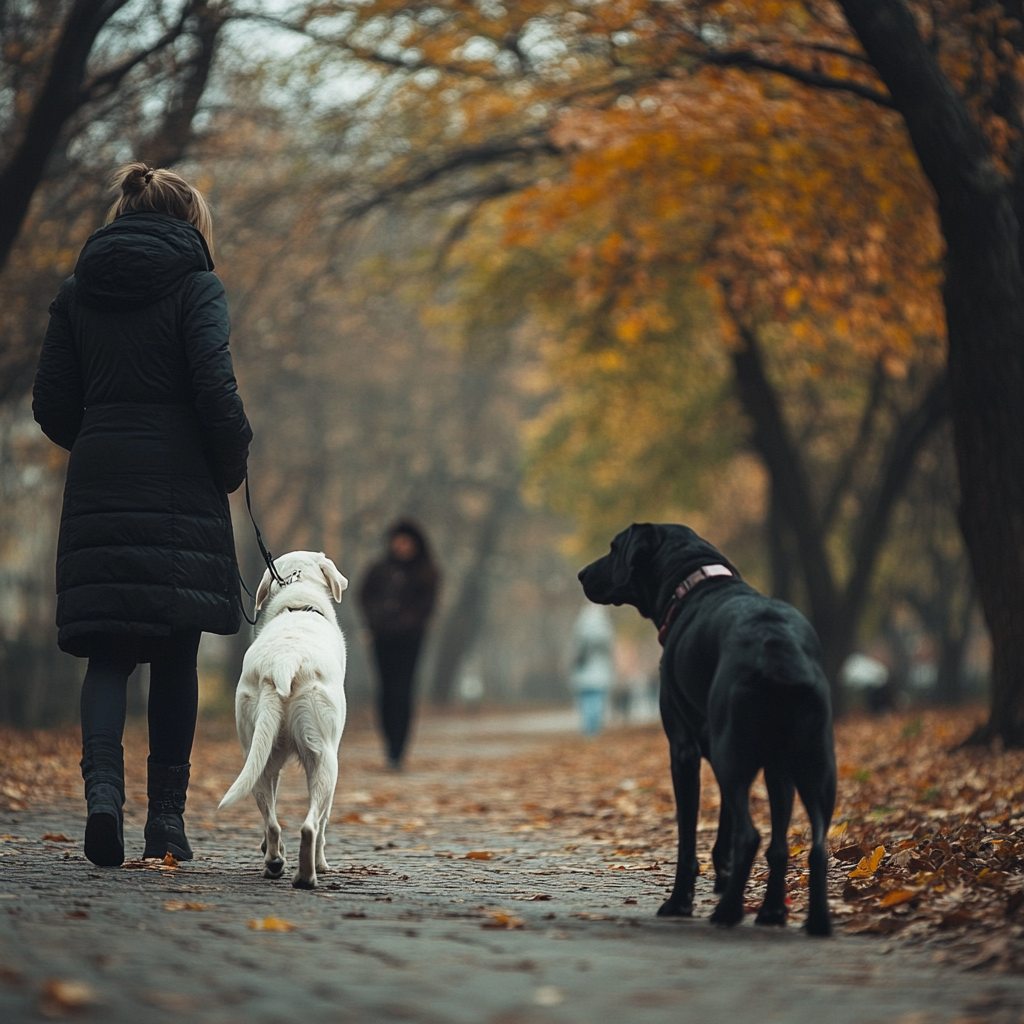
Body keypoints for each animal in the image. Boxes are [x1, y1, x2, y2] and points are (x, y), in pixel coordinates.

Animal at [219, 552, 348, 888]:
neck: (299, 602)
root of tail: (284, 660)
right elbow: (325, 820)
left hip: (256, 750)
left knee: (273, 822)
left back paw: (275, 862)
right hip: (326, 760)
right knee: (311, 826)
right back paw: (308, 874)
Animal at [581, 524, 835, 933]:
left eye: (614, 547)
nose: (582, 574)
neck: (695, 582)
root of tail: (777, 647)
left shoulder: (685, 750)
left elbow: (689, 839)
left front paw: (680, 902)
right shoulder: (754, 761)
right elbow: (737, 831)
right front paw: (733, 882)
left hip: (739, 759)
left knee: (750, 836)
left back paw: (728, 913)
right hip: (813, 765)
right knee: (810, 846)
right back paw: (798, 918)